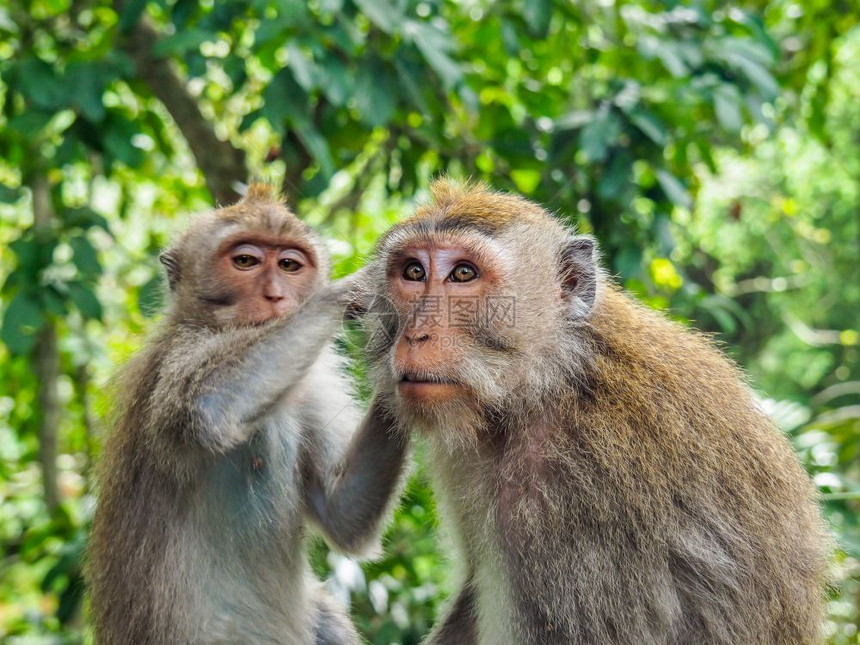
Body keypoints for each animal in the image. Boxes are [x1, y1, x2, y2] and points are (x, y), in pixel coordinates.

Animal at [87, 184, 410, 640]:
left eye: (290, 265)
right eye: (245, 261)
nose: (275, 296)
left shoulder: (311, 385)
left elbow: (342, 512)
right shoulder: (177, 361)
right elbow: (207, 404)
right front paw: (359, 286)